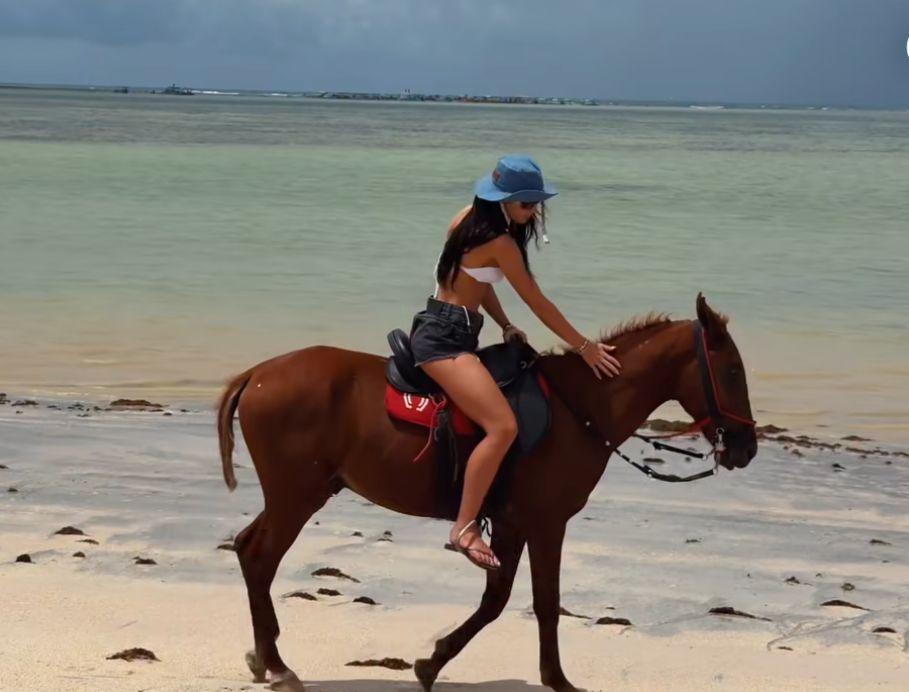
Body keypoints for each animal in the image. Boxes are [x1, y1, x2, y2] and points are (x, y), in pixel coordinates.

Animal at [216, 293, 757, 691]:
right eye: (732, 370)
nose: (746, 447)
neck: (580, 407)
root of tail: (257, 374)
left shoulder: (515, 523)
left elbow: (496, 601)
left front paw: (432, 662)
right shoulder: (545, 523)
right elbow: (543, 603)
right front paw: (556, 679)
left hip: (295, 496)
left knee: (247, 549)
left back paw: (264, 657)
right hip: (296, 498)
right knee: (260, 558)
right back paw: (278, 666)